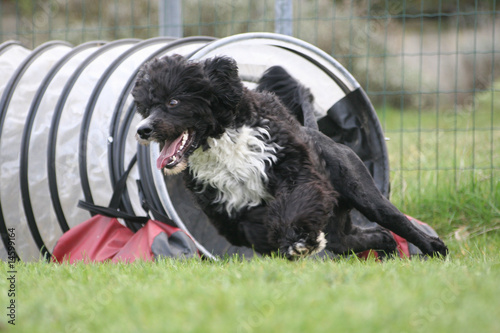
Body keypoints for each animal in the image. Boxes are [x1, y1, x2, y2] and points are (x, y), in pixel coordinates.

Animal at [131, 54, 448, 258]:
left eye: (173, 101)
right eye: (146, 107)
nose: (143, 129)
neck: (220, 141)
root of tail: (318, 133)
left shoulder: (296, 174)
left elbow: (294, 205)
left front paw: (298, 241)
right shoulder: (232, 210)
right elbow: (256, 228)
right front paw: (294, 243)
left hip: (365, 193)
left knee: (394, 220)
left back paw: (434, 247)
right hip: (338, 226)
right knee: (355, 238)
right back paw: (387, 246)